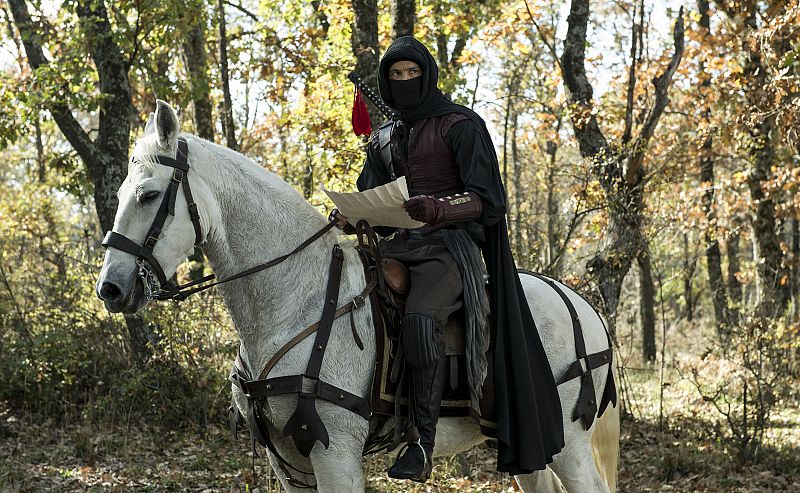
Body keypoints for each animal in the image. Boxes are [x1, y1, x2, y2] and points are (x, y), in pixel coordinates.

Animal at [94, 101, 620, 492]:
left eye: (148, 195)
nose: (112, 288)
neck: (295, 299)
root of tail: (583, 306)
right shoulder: (289, 464)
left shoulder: (336, 454)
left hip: (568, 445)